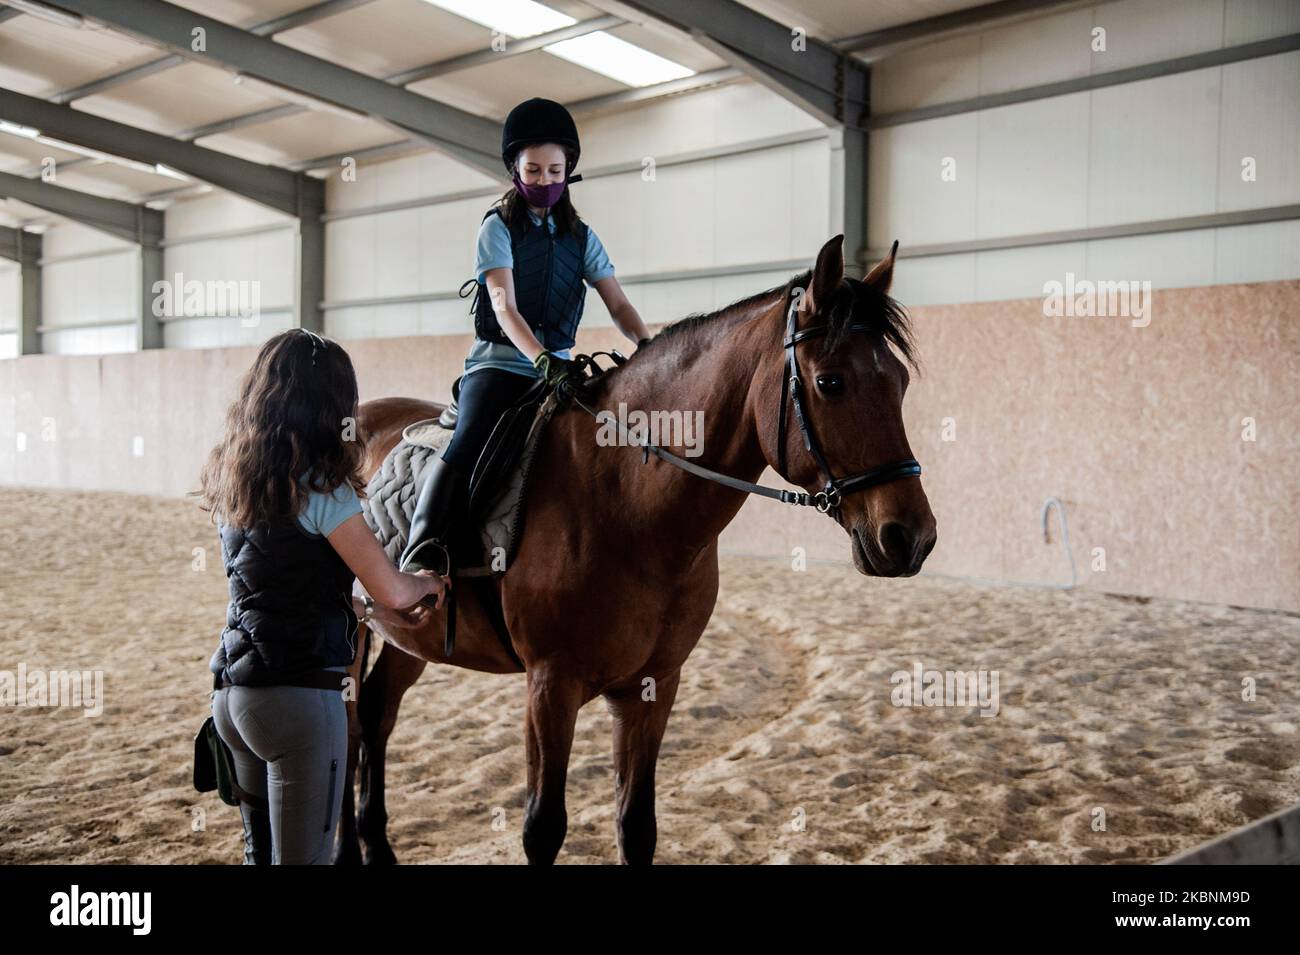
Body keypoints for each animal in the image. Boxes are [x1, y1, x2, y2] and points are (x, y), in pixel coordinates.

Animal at [335, 233, 941, 867]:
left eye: (899, 382)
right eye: (830, 383)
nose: (911, 537)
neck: (624, 505)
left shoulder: (654, 686)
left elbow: (637, 825)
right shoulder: (550, 686)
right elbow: (542, 827)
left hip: (411, 634)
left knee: (376, 714)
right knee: (348, 728)